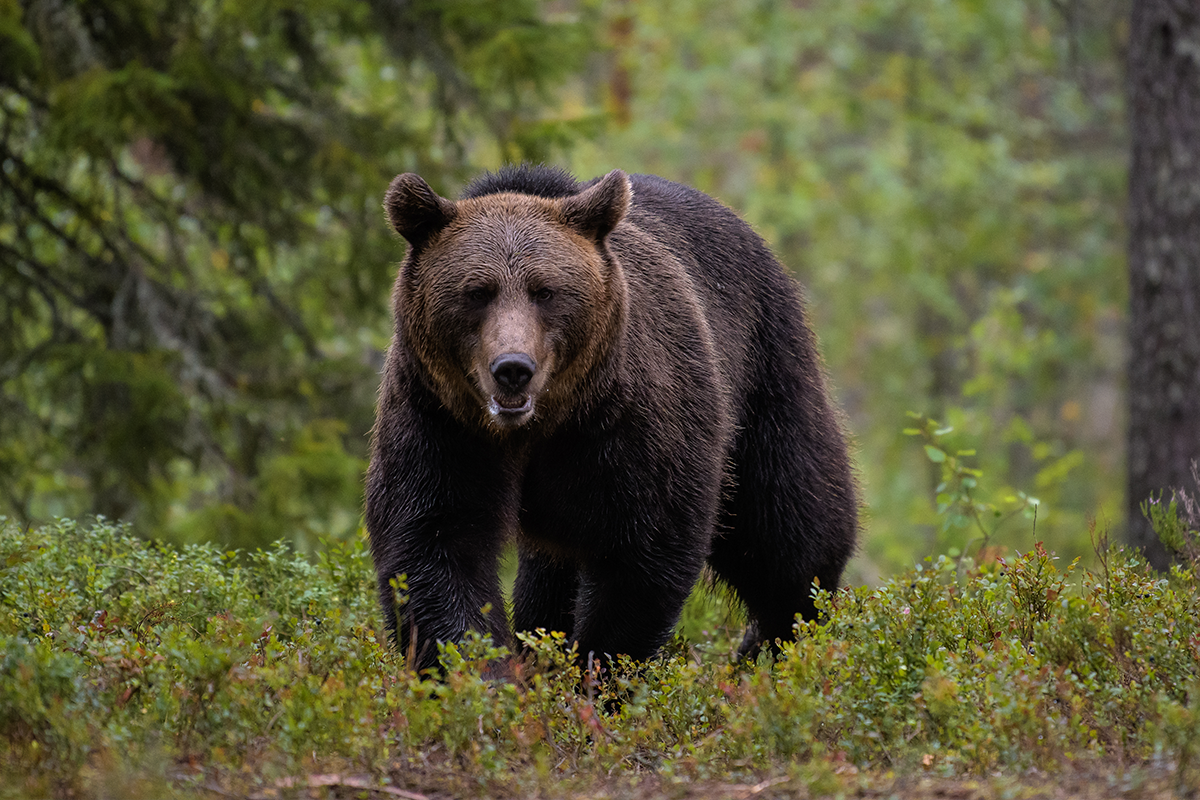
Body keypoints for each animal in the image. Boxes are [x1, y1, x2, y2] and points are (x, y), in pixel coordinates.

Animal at [362, 164, 854, 676]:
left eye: (545, 291)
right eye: (477, 291)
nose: (513, 368)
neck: (540, 427)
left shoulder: (626, 424)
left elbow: (642, 550)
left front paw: (599, 672)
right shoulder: (441, 421)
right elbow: (436, 543)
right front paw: (485, 673)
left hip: (764, 371)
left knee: (788, 526)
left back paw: (782, 643)